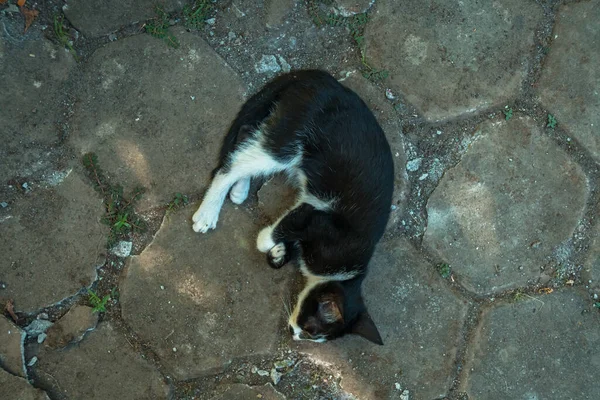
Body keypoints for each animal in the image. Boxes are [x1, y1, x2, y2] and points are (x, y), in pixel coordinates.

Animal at [192, 70, 396, 346]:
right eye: (312, 330)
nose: (294, 335)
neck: (344, 274)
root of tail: (324, 78)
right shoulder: (320, 219)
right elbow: (282, 227)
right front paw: (268, 241)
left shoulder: (309, 211)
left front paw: (280, 254)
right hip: (291, 136)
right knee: (233, 164)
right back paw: (209, 210)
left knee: (247, 135)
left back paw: (239, 189)